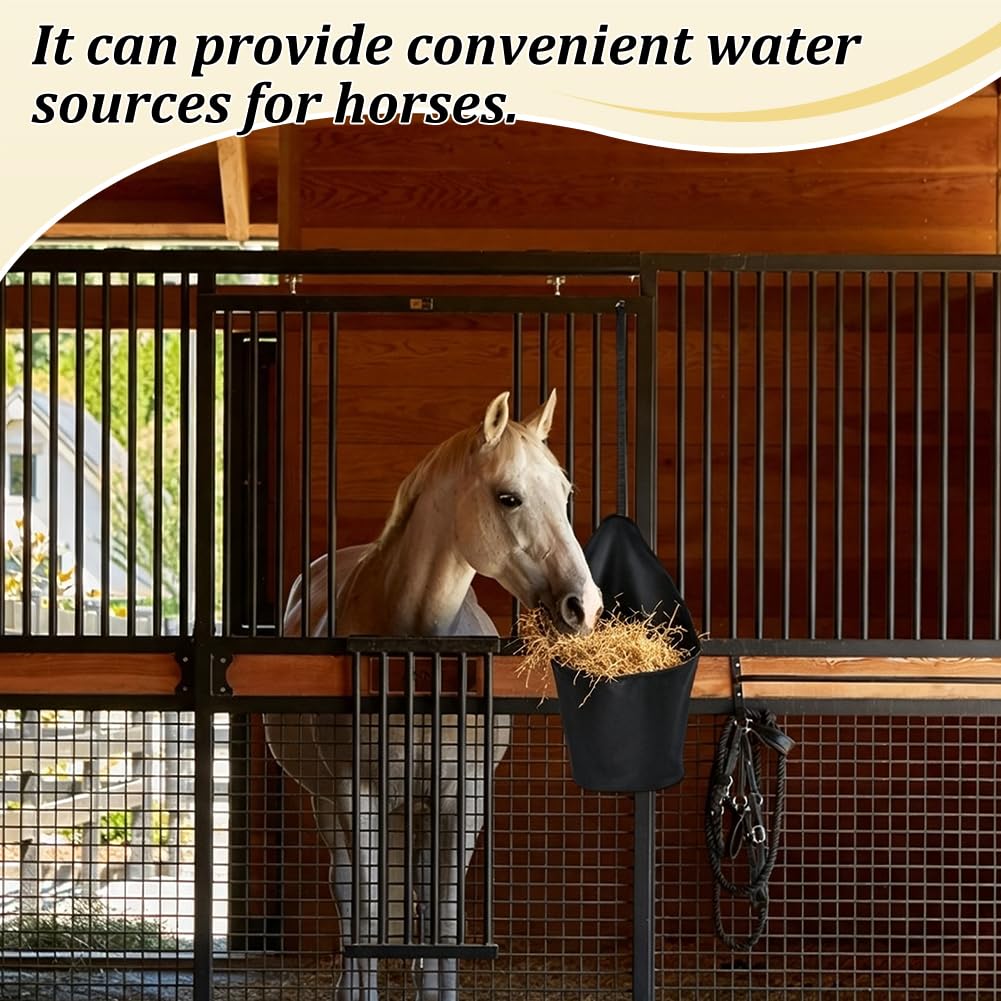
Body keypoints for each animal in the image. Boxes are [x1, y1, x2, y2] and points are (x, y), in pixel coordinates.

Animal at [265, 390, 602, 1001]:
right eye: (508, 497)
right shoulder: (355, 794)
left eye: (565, 495)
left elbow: (445, 921)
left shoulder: (461, 798)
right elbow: (368, 918)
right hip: (330, 801)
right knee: (346, 889)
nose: (584, 606)